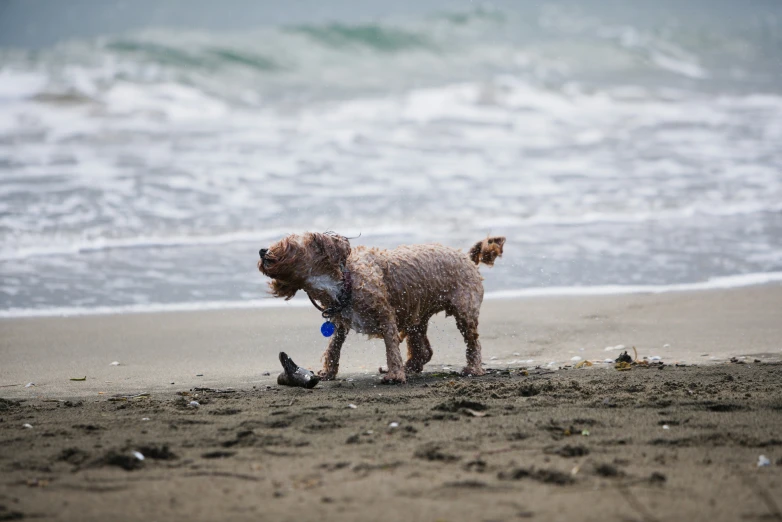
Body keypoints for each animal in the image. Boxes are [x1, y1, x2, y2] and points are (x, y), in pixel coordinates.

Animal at [258, 232, 508, 382]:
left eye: (288, 246)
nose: (262, 251)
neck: (345, 279)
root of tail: (466, 257)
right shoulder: (340, 320)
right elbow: (334, 346)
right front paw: (328, 371)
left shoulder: (385, 315)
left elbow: (390, 346)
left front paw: (395, 373)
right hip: (416, 315)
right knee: (423, 350)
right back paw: (411, 366)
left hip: (464, 311)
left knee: (472, 341)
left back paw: (473, 368)